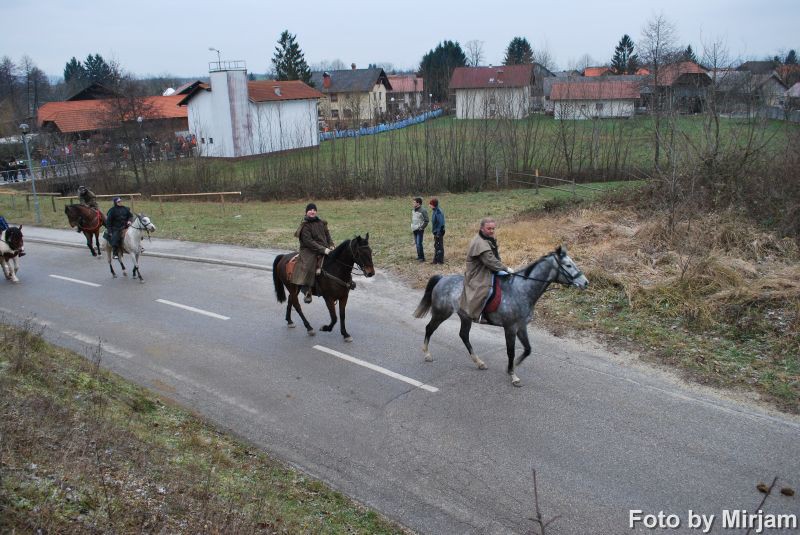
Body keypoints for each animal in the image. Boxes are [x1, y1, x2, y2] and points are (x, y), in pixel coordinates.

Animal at [412, 245, 588, 388]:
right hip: (441, 313)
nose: (585, 283)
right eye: (568, 265)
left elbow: (528, 349)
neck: (522, 289)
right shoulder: (510, 328)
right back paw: (427, 354)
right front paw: (513, 375)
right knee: (429, 328)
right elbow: (511, 351)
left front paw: (513, 366)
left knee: (463, 335)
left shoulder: (521, 326)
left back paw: (479, 362)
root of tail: (442, 278)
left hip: (465, 316)